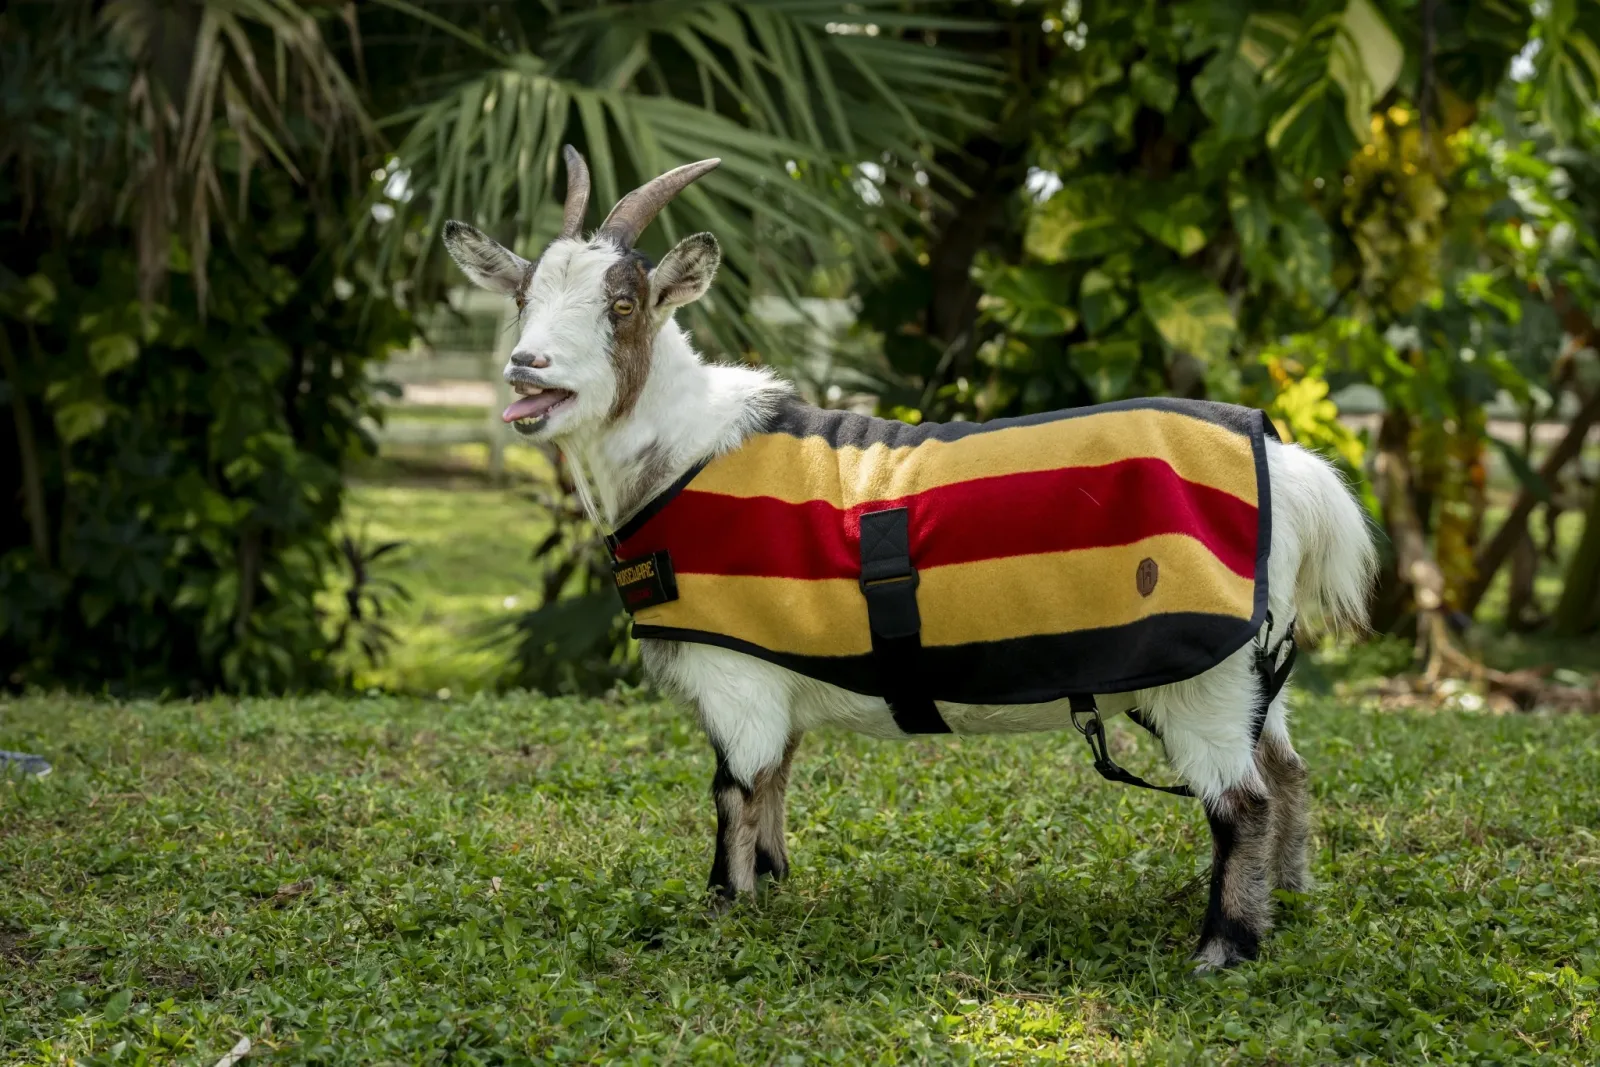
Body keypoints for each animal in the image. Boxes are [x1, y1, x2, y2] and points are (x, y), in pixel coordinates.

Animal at [443, 147, 1379, 972]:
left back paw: (1225, 947)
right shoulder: (776, 668)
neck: (681, 452)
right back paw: (1291, 897)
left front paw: (721, 911)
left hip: (1202, 680)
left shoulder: (736, 680)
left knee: (1242, 802)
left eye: (625, 303)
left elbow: (732, 790)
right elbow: (775, 781)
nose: (526, 365)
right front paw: (774, 888)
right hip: (1257, 673)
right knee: (1289, 772)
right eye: (523, 295)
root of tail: (1291, 468)